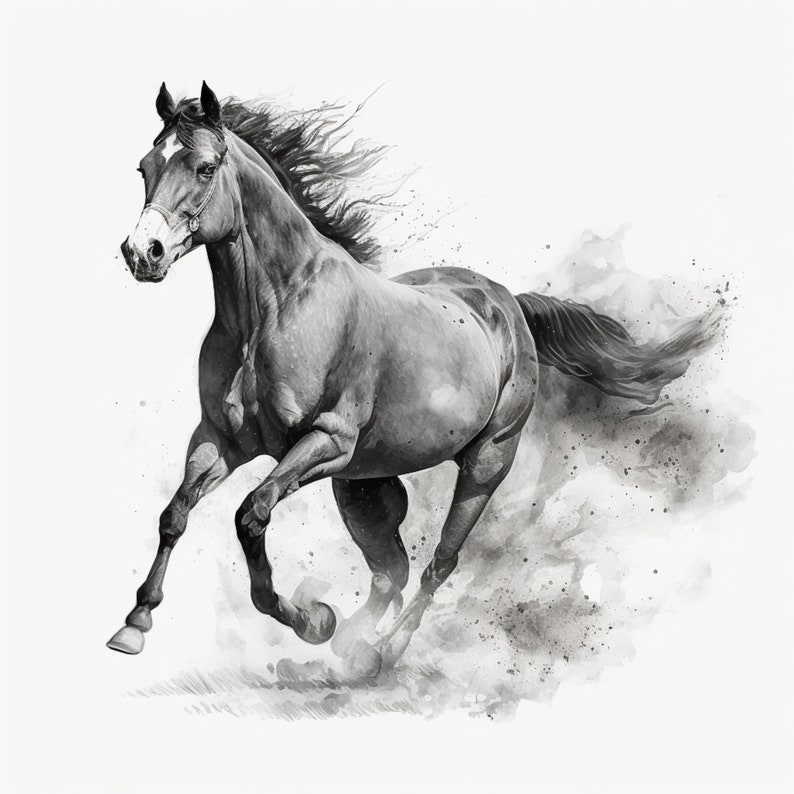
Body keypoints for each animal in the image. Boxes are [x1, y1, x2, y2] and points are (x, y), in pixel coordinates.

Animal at [108, 82, 722, 677]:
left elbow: (251, 515)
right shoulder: (219, 439)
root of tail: (509, 305)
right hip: (362, 485)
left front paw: (312, 620)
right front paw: (134, 625)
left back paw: (377, 653)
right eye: (143, 167)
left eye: (205, 167)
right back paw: (349, 643)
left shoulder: (325, 442)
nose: (143, 253)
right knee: (391, 573)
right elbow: (174, 515)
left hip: (481, 464)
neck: (274, 309)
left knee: (437, 565)